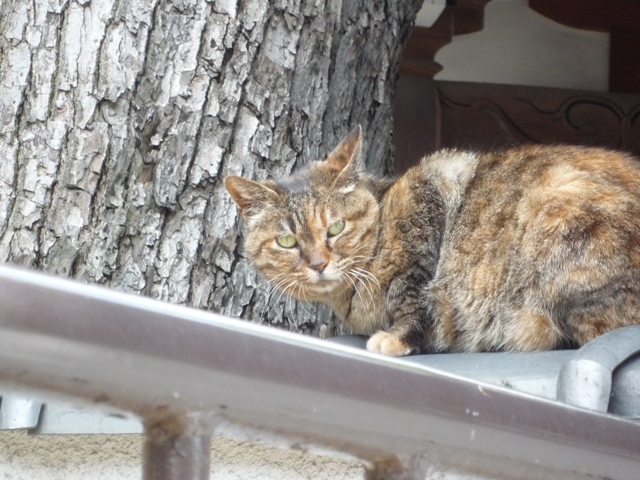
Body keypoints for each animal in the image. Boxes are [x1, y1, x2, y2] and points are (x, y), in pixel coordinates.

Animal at [225, 126, 640, 356]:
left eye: (336, 228)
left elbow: (415, 295)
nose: (318, 263)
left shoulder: (429, 187)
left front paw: (396, 338)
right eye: (287, 240)